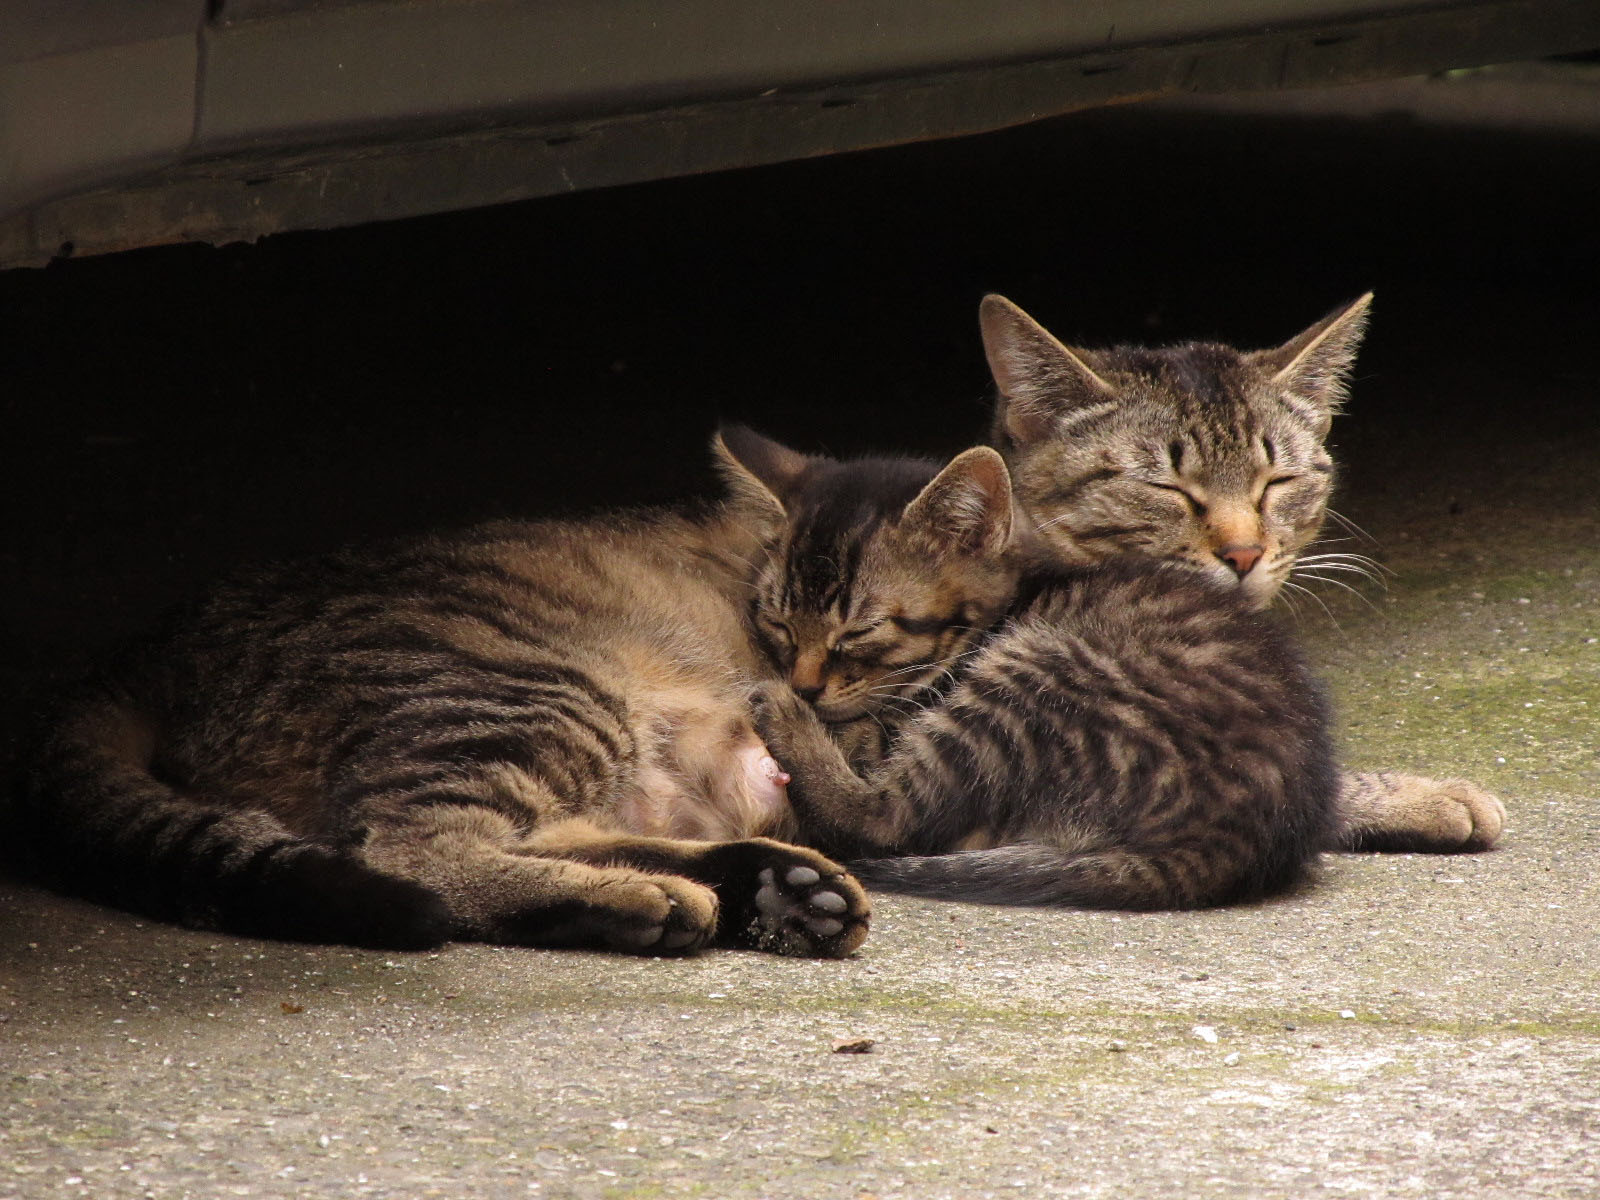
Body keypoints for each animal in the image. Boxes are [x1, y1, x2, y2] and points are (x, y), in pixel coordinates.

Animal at [6, 460, 870, 960]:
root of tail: (153, 640)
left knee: (543, 836)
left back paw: (772, 886)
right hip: (538, 697)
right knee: (414, 850)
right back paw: (656, 898)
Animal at [726, 432, 1337, 908]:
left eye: (859, 631)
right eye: (777, 622)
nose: (805, 686)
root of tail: (1237, 836)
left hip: (1038, 671)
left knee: (888, 819)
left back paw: (784, 713)